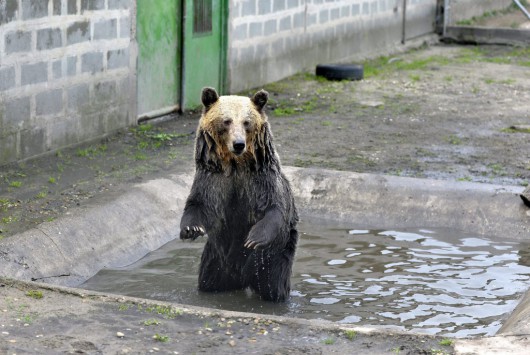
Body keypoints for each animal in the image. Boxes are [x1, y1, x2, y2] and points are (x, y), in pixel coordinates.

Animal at [179, 87, 296, 302]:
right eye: (227, 121)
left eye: (246, 122)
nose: (239, 144)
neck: (236, 165)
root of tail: (242, 277)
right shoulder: (213, 179)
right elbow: (200, 203)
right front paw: (191, 228)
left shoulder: (261, 179)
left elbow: (274, 206)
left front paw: (254, 238)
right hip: (216, 260)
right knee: (208, 281)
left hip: (272, 260)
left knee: (274, 285)